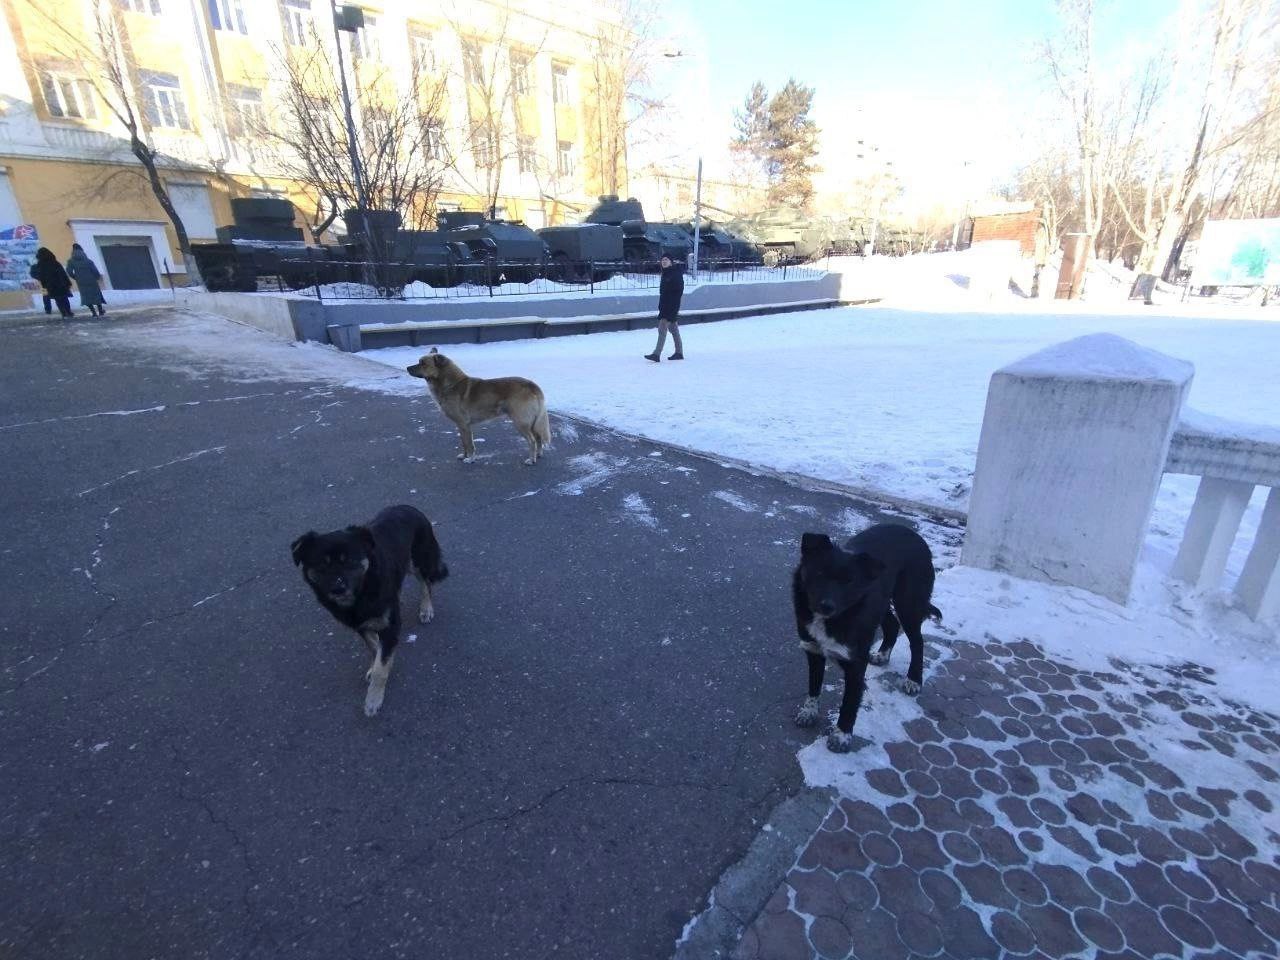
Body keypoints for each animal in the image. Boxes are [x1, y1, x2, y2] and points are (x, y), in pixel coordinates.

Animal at [293, 506, 448, 716]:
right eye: (322, 564)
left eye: (350, 560)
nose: (338, 589)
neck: (362, 592)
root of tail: (409, 507)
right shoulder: (360, 625)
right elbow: (375, 649)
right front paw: (380, 664)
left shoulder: (390, 625)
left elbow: (380, 668)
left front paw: (373, 699)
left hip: (418, 559)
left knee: (426, 583)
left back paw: (426, 609)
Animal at [407, 350, 552, 465]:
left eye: (423, 363)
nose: (407, 368)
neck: (451, 384)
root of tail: (532, 385)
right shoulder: (461, 426)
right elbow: (464, 443)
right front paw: (464, 456)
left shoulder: (464, 424)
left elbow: (470, 444)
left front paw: (470, 459)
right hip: (531, 422)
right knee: (538, 438)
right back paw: (538, 455)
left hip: (520, 422)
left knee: (532, 440)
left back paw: (531, 460)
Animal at [788, 527, 942, 752]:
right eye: (819, 573)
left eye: (849, 581)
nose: (827, 606)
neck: (832, 619)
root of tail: (917, 537)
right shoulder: (814, 650)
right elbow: (814, 686)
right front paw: (809, 712)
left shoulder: (856, 664)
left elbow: (849, 703)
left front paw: (841, 736)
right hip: (884, 602)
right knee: (892, 624)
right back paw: (882, 655)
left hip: (908, 603)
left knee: (917, 642)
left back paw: (914, 679)